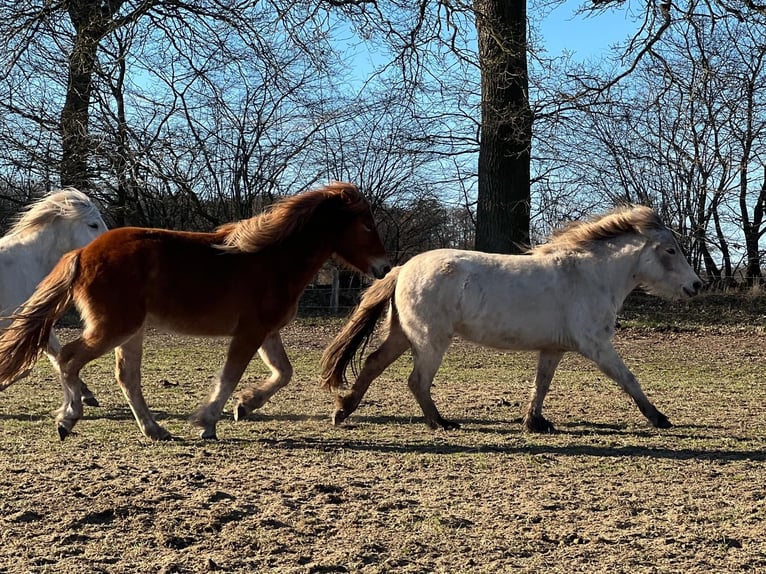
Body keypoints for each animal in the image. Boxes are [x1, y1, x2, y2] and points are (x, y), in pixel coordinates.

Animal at [321, 205, 703, 432]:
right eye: (671, 250)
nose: (697, 285)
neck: (588, 275)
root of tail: (402, 269)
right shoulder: (596, 345)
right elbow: (628, 378)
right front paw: (659, 418)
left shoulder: (553, 349)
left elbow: (541, 385)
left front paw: (535, 422)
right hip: (430, 341)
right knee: (417, 381)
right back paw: (441, 423)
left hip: (404, 335)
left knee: (373, 363)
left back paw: (342, 410)